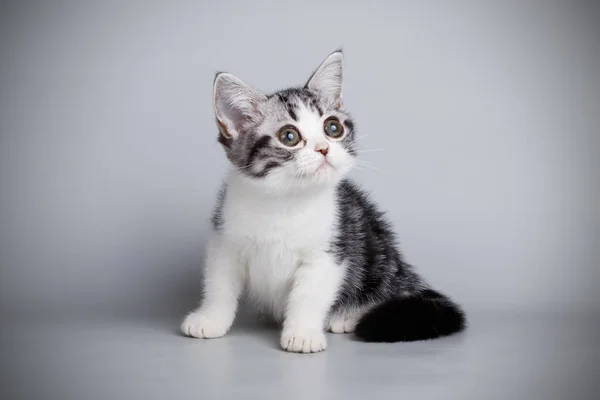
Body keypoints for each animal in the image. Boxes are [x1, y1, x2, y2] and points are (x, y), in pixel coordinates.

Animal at [180, 50, 466, 354]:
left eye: (333, 127)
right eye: (289, 136)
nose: (324, 148)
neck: (284, 201)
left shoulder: (330, 248)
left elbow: (309, 295)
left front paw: (302, 333)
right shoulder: (226, 240)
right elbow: (219, 283)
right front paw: (210, 318)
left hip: (374, 253)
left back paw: (348, 316)